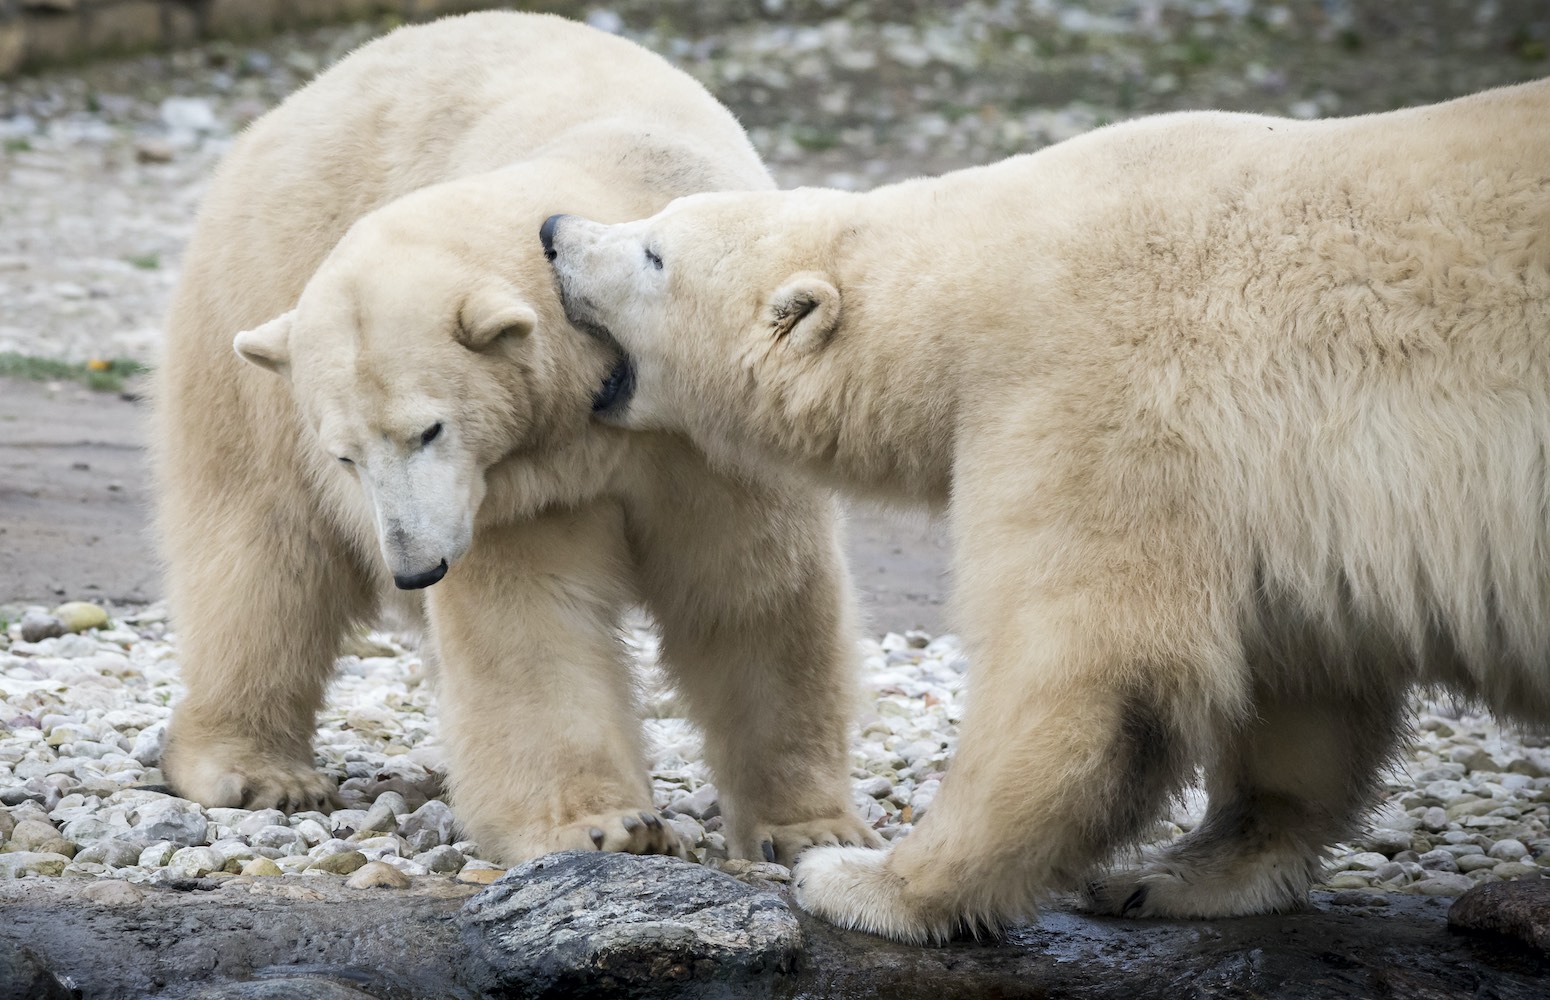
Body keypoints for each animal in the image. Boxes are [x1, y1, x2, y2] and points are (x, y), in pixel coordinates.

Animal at [157, 11, 886, 862]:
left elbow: (753, 592)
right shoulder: (517, 485)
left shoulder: (706, 428)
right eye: (347, 455)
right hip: (245, 320)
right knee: (263, 554)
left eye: (428, 430)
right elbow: (534, 618)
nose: (415, 568)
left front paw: (811, 827)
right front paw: (606, 825)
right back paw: (255, 772)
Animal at [548, 75, 1550, 936]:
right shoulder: (1278, 494)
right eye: (652, 222)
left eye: (653, 252)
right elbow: (1305, 673)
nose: (555, 231)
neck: (971, 284)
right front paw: (1179, 873)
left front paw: (870, 883)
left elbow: (1083, 667)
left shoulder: (1095, 389)